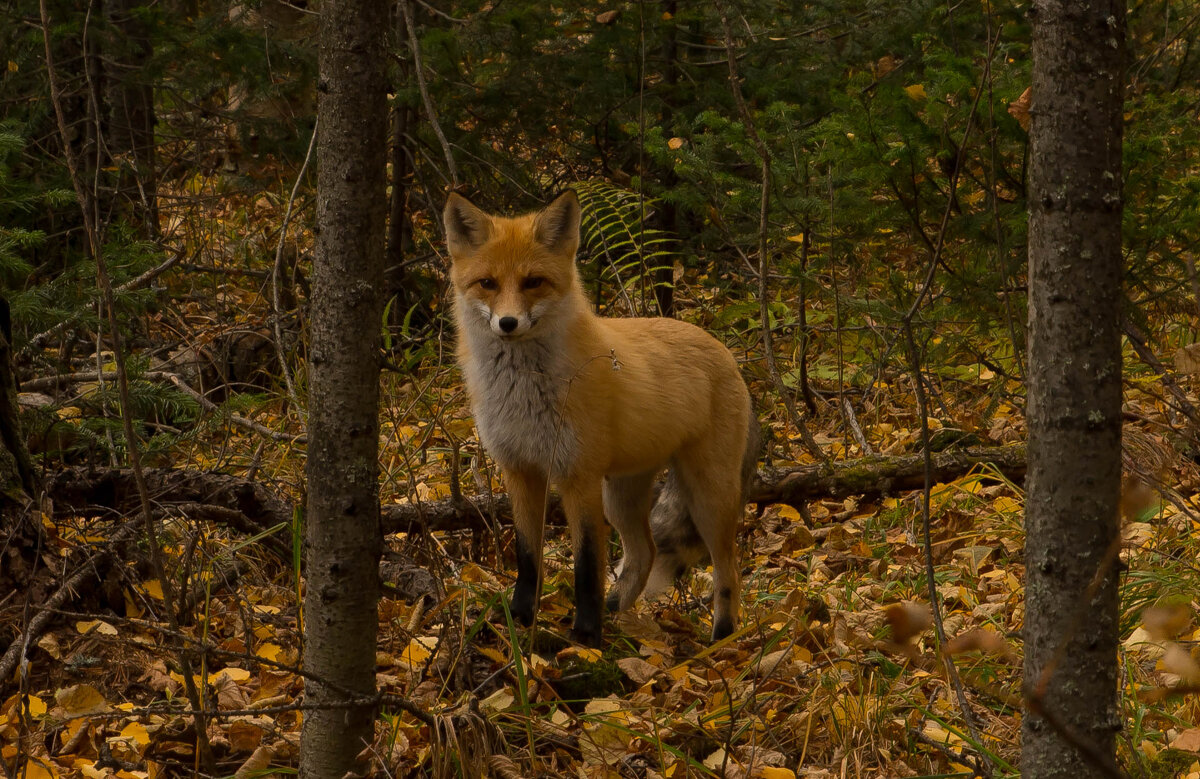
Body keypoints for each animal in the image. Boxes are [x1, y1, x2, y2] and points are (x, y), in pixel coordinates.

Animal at [446, 188, 753, 643]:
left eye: (533, 282)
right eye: (488, 283)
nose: (508, 323)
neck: (523, 393)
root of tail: (723, 349)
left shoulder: (579, 476)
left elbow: (587, 565)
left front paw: (586, 636)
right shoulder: (520, 470)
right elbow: (527, 558)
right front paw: (521, 618)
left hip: (708, 495)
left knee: (728, 570)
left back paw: (721, 639)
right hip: (622, 496)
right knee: (644, 553)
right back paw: (617, 610)